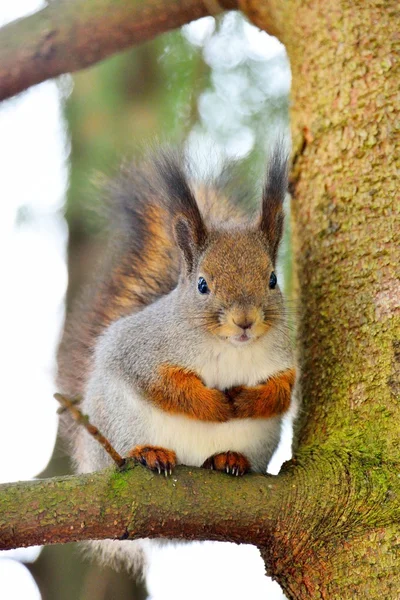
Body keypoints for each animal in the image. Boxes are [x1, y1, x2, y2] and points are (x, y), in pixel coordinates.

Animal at [57, 144, 298, 572]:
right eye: (202, 284)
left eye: (272, 279)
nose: (245, 321)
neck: (231, 347)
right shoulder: (142, 351)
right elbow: (166, 385)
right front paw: (213, 405)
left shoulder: (284, 361)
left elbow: (282, 390)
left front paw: (248, 400)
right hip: (117, 424)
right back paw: (148, 453)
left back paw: (229, 459)